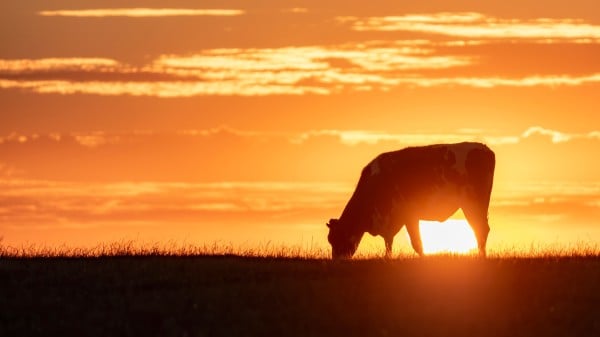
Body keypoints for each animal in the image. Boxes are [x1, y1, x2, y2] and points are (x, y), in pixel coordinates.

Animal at [326, 142, 494, 258]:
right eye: (330, 240)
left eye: (337, 238)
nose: (336, 261)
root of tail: (484, 148)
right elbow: (389, 243)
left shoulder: (408, 215)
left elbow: (416, 243)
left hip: (472, 204)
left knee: (480, 229)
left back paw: (481, 256)